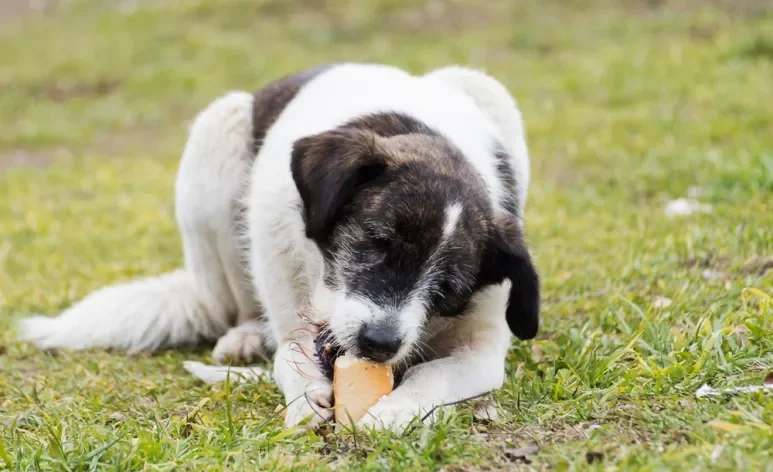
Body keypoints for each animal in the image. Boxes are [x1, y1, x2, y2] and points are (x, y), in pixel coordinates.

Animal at [16, 63, 536, 432]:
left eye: (448, 287)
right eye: (377, 241)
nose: (379, 343)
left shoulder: (483, 347)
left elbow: (435, 373)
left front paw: (398, 408)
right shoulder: (291, 310)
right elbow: (289, 355)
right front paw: (305, 396)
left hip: (489, 90)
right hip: (218, 130)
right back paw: (246, 335)